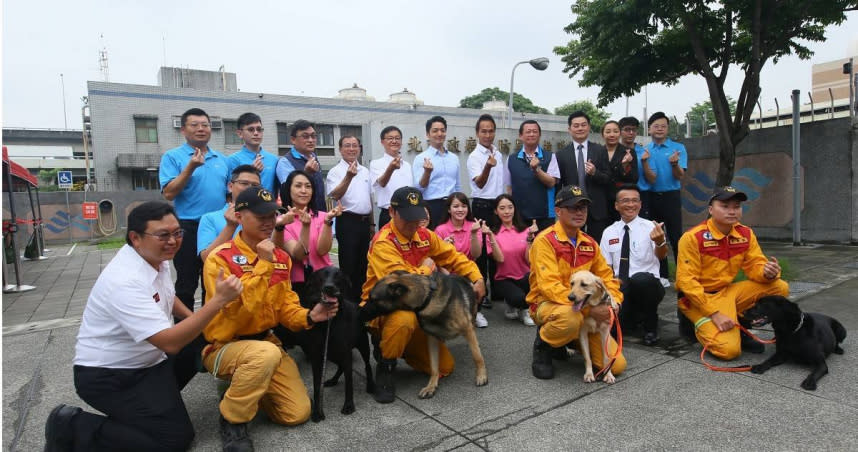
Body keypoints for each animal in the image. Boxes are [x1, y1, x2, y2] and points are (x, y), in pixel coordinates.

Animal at [290, 266, 372, 422]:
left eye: (338, 276)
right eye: (321, 276)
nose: (329, 287)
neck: (328, 321)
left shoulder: (345, 353)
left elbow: (349, 383)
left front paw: (349, 406)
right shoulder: (317, 357)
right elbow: (317, 386)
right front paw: (317, 412)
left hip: (362, 346)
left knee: (367, 365)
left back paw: (372, 385)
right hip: (332, 354)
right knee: (340, 367)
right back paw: (333, 380)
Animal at [358, 270, 484, 398]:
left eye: (373, 300)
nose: (359, 312)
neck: (427, 299)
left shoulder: (468, 330)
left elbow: (477, 356)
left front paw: (482, 376)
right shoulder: (432, 339)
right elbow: (434, 367)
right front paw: (431, 386)